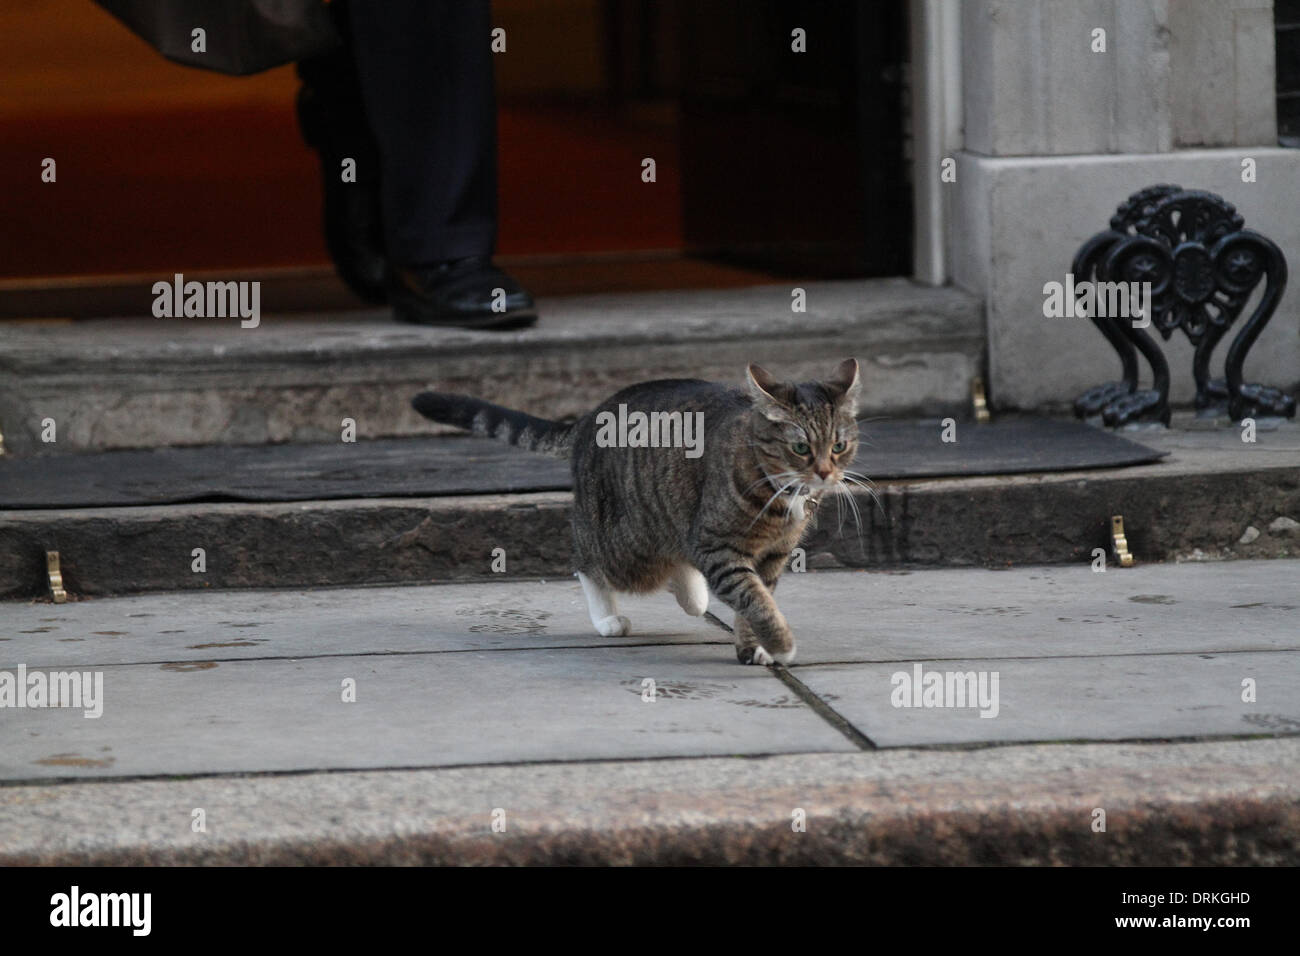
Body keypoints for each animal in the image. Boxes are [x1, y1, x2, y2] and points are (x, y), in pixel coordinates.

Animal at [413, 358, 863, 665]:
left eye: (839, 446)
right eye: (800, 447)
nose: (826, 472)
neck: (780, 492)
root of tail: (590, 415)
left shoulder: (772, 556)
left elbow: (757, 599)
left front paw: (756, 647)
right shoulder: (718, 546)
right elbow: (753, 598)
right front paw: (782, 644)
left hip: (666, 520)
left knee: (676, 557)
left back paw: (693, 597)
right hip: (624, 543)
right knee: (586, 561)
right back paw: (607, 618)